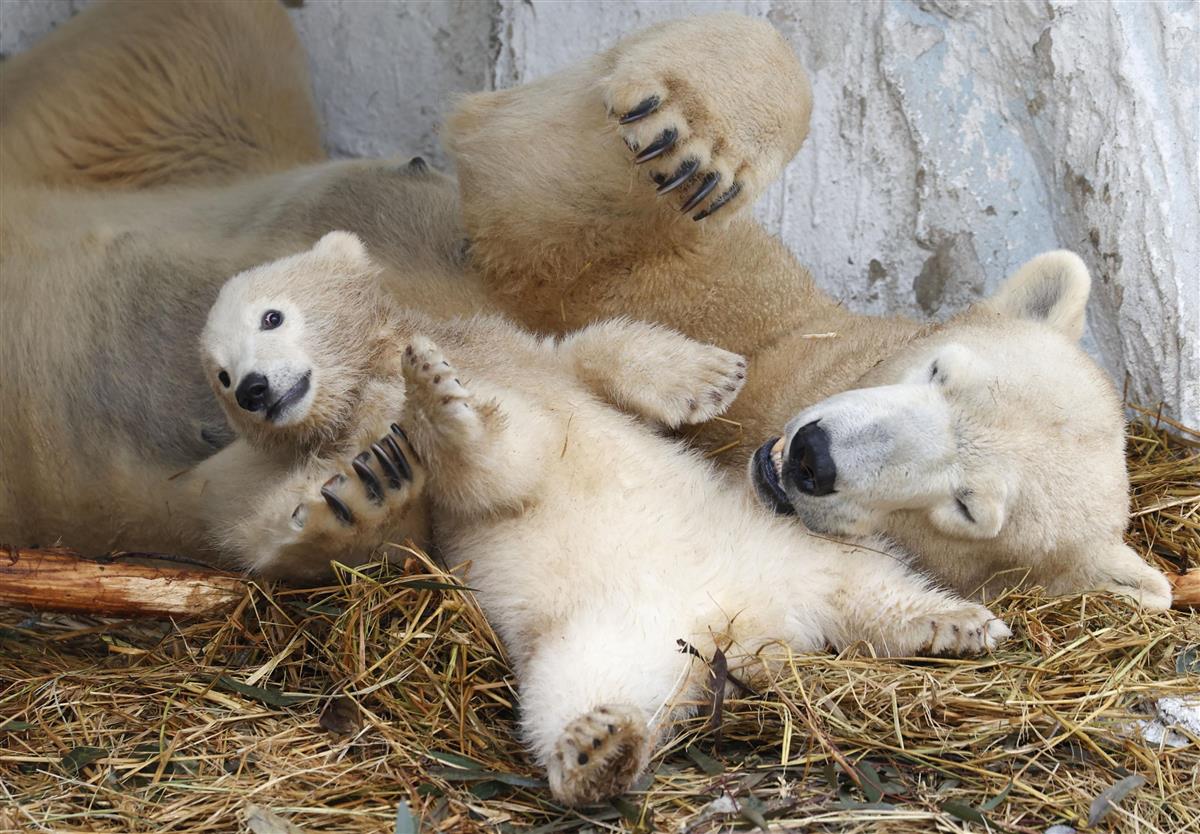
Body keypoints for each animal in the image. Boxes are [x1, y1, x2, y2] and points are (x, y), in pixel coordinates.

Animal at [216, 235, 1012, 811]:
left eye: (272, 315)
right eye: (219, 373)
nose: (252, 387)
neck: (379, 367)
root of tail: (749, 623)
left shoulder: (519, 347)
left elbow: (590, 353)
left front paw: (711, 377)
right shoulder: (397, 451)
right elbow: (481, 473)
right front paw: (427, 419)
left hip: (789, 537)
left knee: (869, 584)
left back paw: (956, 623)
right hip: (613, 635)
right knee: (576, 690)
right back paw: (597, 750)